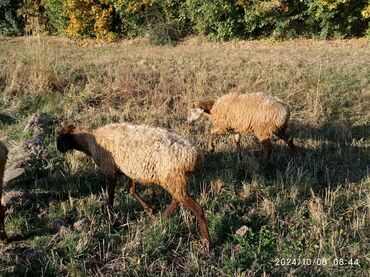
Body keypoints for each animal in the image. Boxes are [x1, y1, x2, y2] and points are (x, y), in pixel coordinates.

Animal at [56, 123, 210, 244]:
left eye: (59, 138)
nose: (58, 149)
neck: (90, 141)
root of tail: (195, 156)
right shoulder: (132, 171)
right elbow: (130, 189)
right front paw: (149, 209)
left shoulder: (110, 170)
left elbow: (110, 196)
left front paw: (110, 215)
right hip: (174, 180)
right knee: (176, 199)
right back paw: (162, 218)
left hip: (173, 179)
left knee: (196, 208)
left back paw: (206, 242)